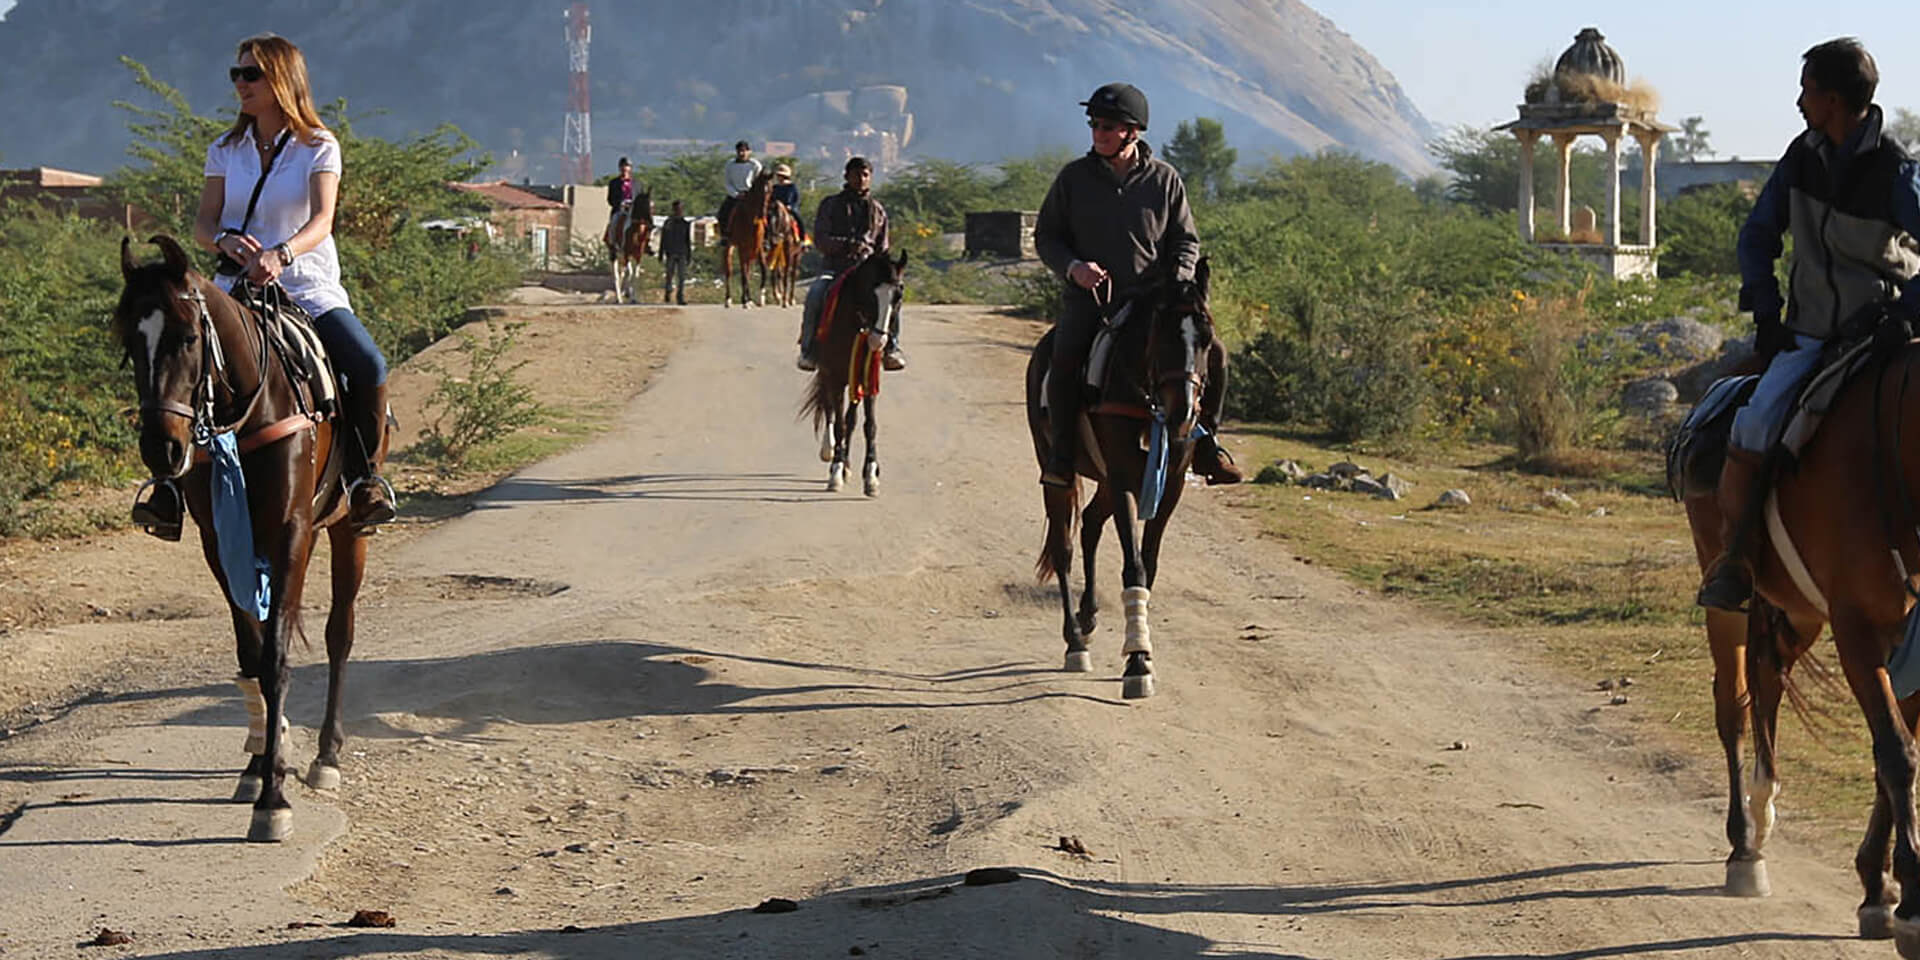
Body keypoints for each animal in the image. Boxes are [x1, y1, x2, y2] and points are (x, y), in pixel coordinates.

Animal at [113, 238, 385, 840]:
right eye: (129, 340)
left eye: (188, 336)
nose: (162, 449)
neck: (251, 406)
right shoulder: (221, 541)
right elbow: (252, 652)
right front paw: (261, 765)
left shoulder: (291, 531)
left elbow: (278, 656)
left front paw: (274, 800)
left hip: (347, 530)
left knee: (340, 633)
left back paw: (327, 754)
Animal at [721, 170, 775, 309]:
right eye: (759, 190)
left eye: (770, 190)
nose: (763, 214)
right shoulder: (742, 247)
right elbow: (743, 274)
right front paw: (745, 301)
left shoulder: (758, 247)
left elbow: (762, 269)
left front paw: (760, 297)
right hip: (729, 246)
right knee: (729, 271)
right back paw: (728, 299)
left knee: (747, 269)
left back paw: (748, 299)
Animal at [802, 249, 906, 495]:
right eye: (870, 292)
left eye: (898, 295)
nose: (879, 341)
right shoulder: (835, 377)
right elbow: (839, 423)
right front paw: (836, 472)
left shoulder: (867, 379)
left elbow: (868, 425)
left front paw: (871, 476)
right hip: (828, 375)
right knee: (830, 411)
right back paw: (830, 451)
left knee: (850, 419)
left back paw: (847, 465)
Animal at [1021, 261, 1213, 698]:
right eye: (1162, 335)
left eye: (1207, 339)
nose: (1183, 415)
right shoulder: (1125, 476)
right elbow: (1134, 566)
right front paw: (1138, 663)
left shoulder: (1170, 485)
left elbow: (1149, 564)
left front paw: (1140, 652)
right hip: (1060, 471)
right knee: (1063, 547)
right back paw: (1075, 641)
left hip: (1108, 479)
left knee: (1091, 524)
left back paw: (1088, 616)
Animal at [1681, 343, 1920, 944]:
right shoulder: (1858, 629)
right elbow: (1897, 754)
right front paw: (1907, 902)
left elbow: (1895, 753)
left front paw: (1878, 886)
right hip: (1726, 599)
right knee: (1734, 707)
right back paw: (1745, 848)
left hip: (1799, 610)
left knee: (1768, 683)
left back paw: (1762, 814)